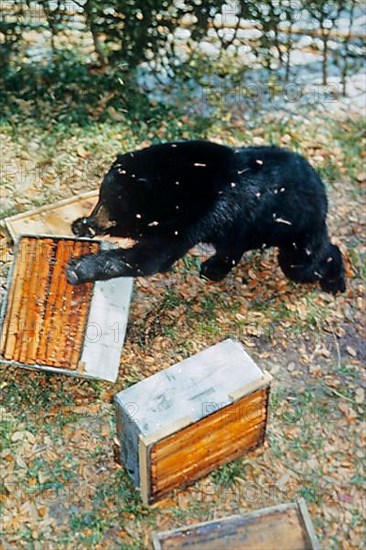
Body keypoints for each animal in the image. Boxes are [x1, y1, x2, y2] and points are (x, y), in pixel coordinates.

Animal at [66, 142, 346, 298]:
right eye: (100, 199)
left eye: (110, 204)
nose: (97, 216)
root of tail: (323, 195)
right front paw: (82, 224)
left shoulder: (198, 213)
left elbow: (152, 256)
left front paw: (78, 268)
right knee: (233, 248)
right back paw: (213, 269)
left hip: (294, 231)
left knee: (306, 261)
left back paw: (336, 281)